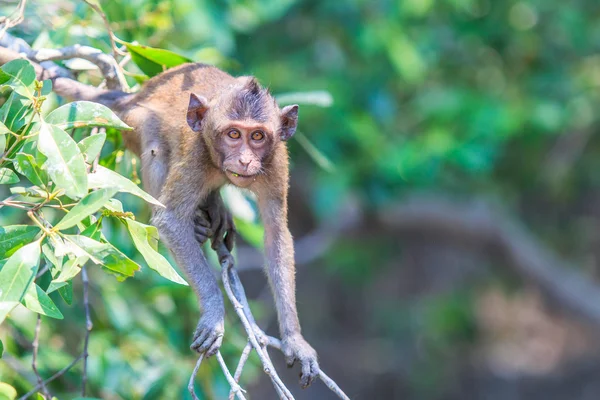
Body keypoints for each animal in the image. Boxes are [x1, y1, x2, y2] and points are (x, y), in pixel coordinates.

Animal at [48, 62, 318, 388]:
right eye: (233, 134)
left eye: (257, 136)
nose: (244, 160)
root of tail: (136, 94)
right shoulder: (196, 156)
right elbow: (170, 221)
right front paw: (214, 313)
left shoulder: (276, 162)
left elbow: (276, 234)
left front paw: (294, 339)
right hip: (131, 124)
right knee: (154, 147)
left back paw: (214, 208)